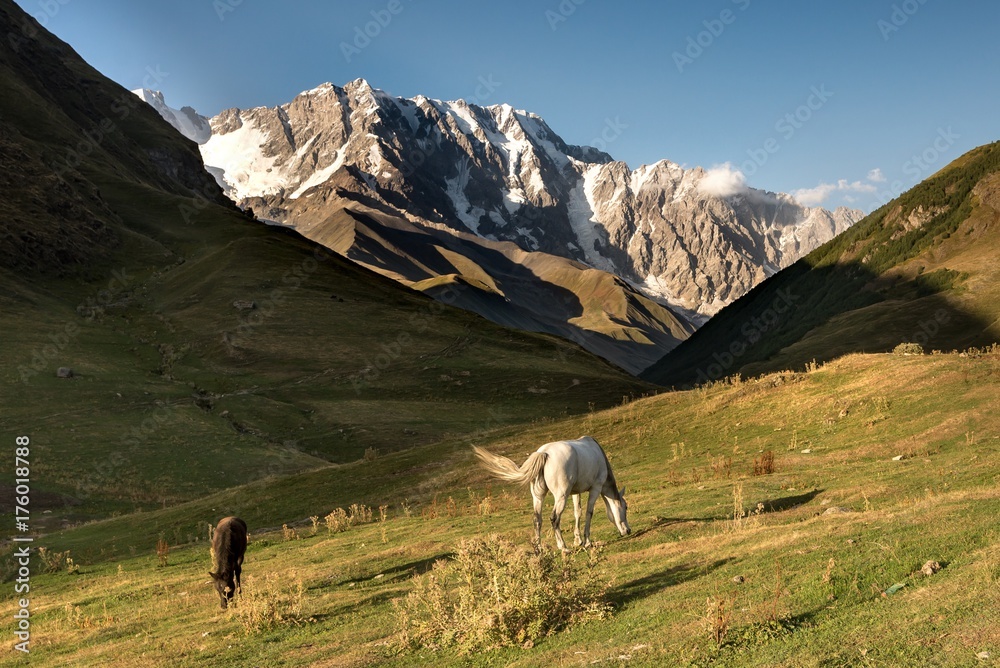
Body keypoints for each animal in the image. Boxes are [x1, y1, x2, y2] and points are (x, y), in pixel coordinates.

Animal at [473, 436, 630, 551]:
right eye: (626, 507)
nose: (628, 530)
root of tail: (545, 453)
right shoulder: (595, 488)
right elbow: (588, 513)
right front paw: (586, 542)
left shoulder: (575, 492)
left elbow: (577, 512)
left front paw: (577, 540)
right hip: (561, 497)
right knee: (554, 518)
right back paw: (563, 547)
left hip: (538, 498)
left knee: (537, 519)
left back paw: (539, 549)